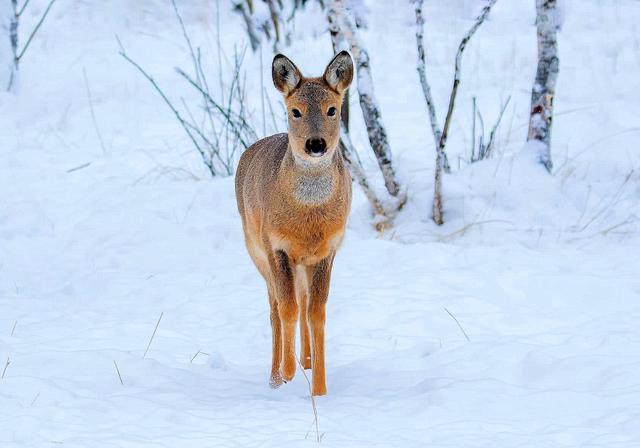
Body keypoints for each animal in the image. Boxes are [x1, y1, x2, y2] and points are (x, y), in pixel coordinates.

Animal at [236, 51, 356, 396]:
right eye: (296, 111)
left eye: (332, 109)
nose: (315, 144)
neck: (307, 217)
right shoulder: (276, 247)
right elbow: (285, 308)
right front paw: (286, 373)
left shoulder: (328, 251)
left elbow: (316, 314)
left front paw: (320, 389)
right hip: (256, 250)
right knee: (275, 307)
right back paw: (275, 377)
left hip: (301, 264)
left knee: (301, 303)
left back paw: (306, 361)